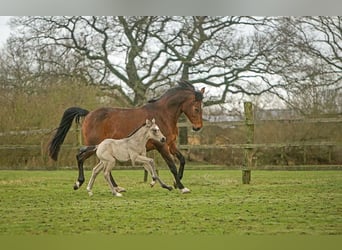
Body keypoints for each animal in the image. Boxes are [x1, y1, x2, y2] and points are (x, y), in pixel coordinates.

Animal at [47, 80, 203, 193]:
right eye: (196, 108)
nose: (198, 127)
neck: (163, 115)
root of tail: (89, 113)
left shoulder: (170, 144)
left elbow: (182, 160)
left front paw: (175, 183)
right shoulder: (162, 145)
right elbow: (172, 166)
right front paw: (182, 187)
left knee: (102, 167)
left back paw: (116, 187)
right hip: (94, 146)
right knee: (82, 158)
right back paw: (79, 183)